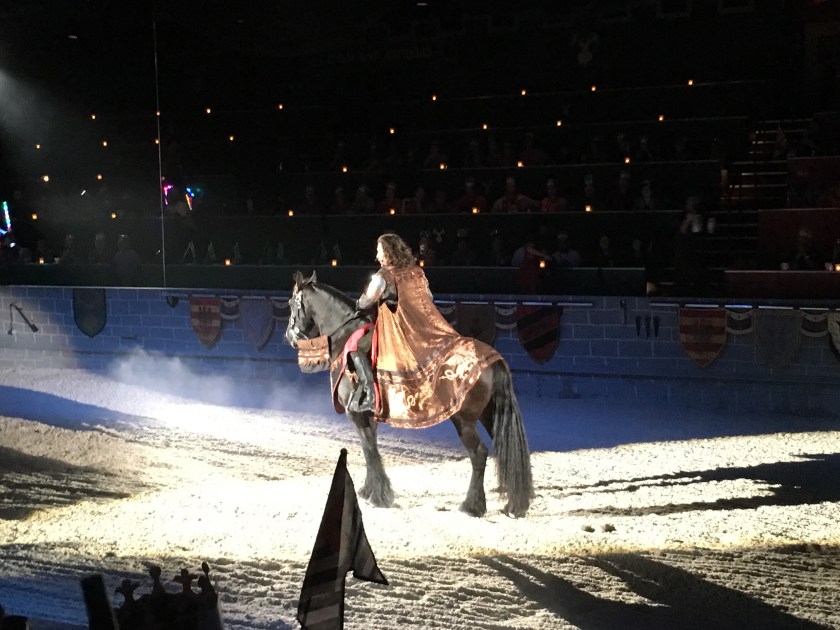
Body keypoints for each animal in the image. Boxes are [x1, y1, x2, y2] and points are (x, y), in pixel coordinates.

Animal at [285, 271, 533, 517]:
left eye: (291, 302)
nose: (290, 335)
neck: (345, 335)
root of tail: (492, 359)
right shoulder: (369, 417)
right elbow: (371, 449)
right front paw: (369, 490)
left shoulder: (355, 414)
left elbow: (368, 450)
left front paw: (379, 496)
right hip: (490, 415)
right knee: (506, 453)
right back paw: (513, 505)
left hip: (463, 420)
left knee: (479, 454)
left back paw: (472, 506)